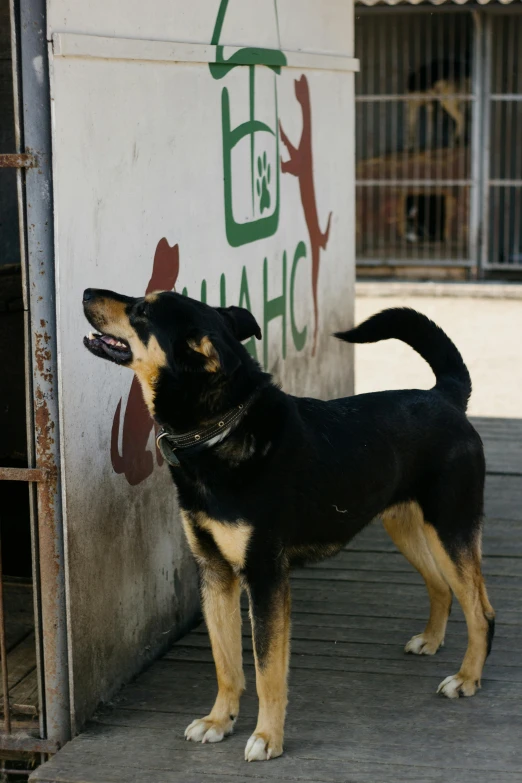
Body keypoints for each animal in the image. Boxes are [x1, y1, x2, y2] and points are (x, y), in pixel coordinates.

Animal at [83, 288, 494, 760]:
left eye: (142, 311)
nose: (87, 293)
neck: (220, 429)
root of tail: (445, 395)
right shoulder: (215, 573)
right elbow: (226, 663)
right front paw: (219, 721)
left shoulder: (265, 578)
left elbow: (267, 670)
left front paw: (267, 737)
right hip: (407, 527)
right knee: (441, 586)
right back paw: (431, 640)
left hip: (451, 530)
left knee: (482, 611)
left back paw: (467, 678)